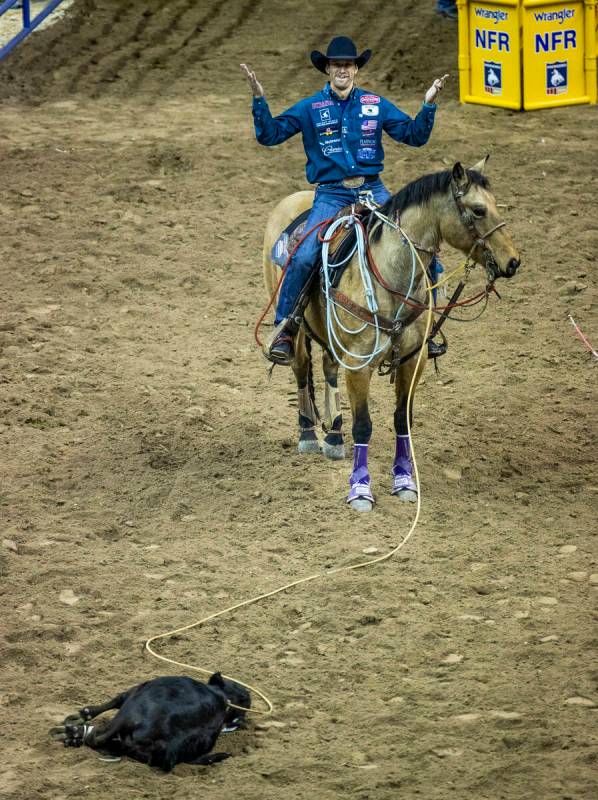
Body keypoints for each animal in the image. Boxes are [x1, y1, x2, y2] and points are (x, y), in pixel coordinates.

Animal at [48, 672, 251, 772]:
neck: (223, 698)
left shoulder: (135, 690)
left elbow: (114, 700)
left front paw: (82, 716)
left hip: (128, 710)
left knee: (96, 737)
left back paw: (73, 733)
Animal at [262, 160, 520, 512]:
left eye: (495, 204)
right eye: (479, 210)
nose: (513, 261)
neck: (391, 275)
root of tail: (293, 200)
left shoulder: (414, 360)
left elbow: (402, 420)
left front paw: (404, 482)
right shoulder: (359, 365)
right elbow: (363, 425)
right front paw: (360, 490)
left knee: (328, 367)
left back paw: (334, 436)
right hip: (295, 322)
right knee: (301, 367)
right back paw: (308, 434)